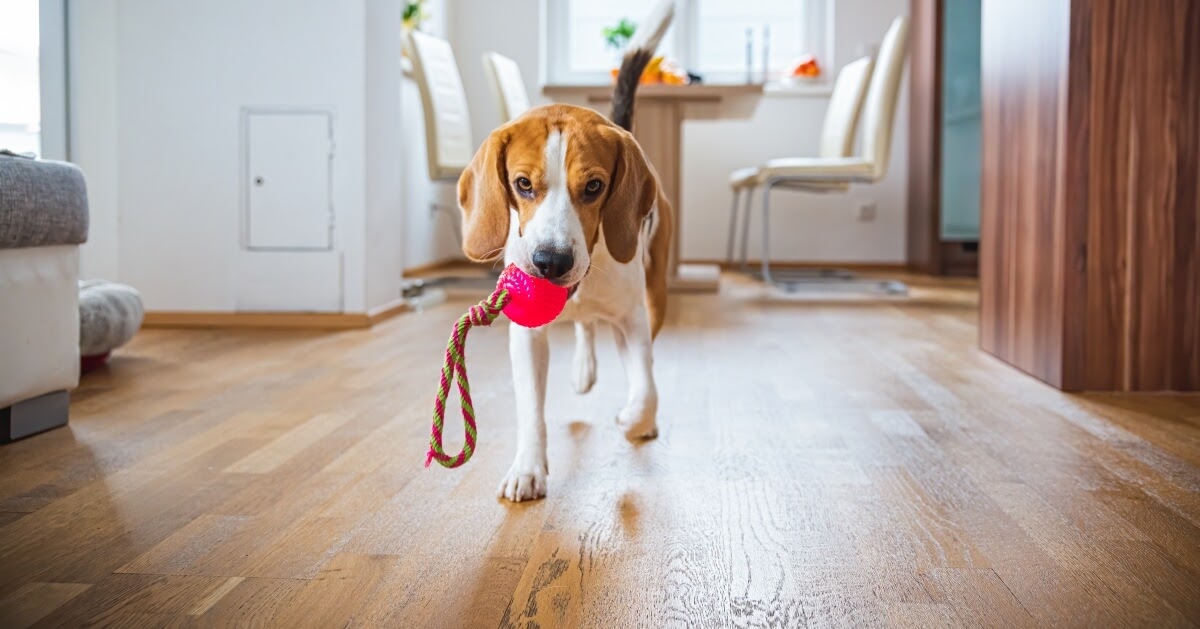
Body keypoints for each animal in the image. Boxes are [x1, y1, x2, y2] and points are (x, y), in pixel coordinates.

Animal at [453, 48, 672, 501]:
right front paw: (528, 468)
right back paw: (583, 369)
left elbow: (646, 388)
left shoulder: (633, 321)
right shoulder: (526, 337)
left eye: (593, 187)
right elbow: (530, 410)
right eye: (522, 184)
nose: (550, 262)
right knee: (584, 326)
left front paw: (634, 419)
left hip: (655, 294)